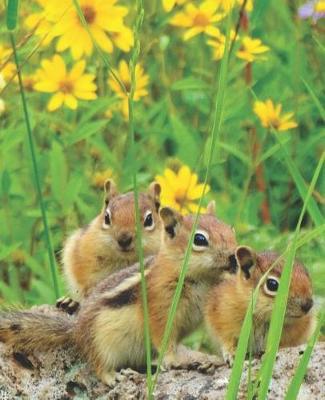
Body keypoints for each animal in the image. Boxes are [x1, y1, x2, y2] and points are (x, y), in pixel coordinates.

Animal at [0, 205, 235, 386]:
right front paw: (175, 361)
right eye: (200, 239)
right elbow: (163, 339)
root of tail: (75, 330)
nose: (234, 256)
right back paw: (113, 377)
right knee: (98, 364)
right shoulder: (160, 308)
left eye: (230, 230)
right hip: (102, 343)